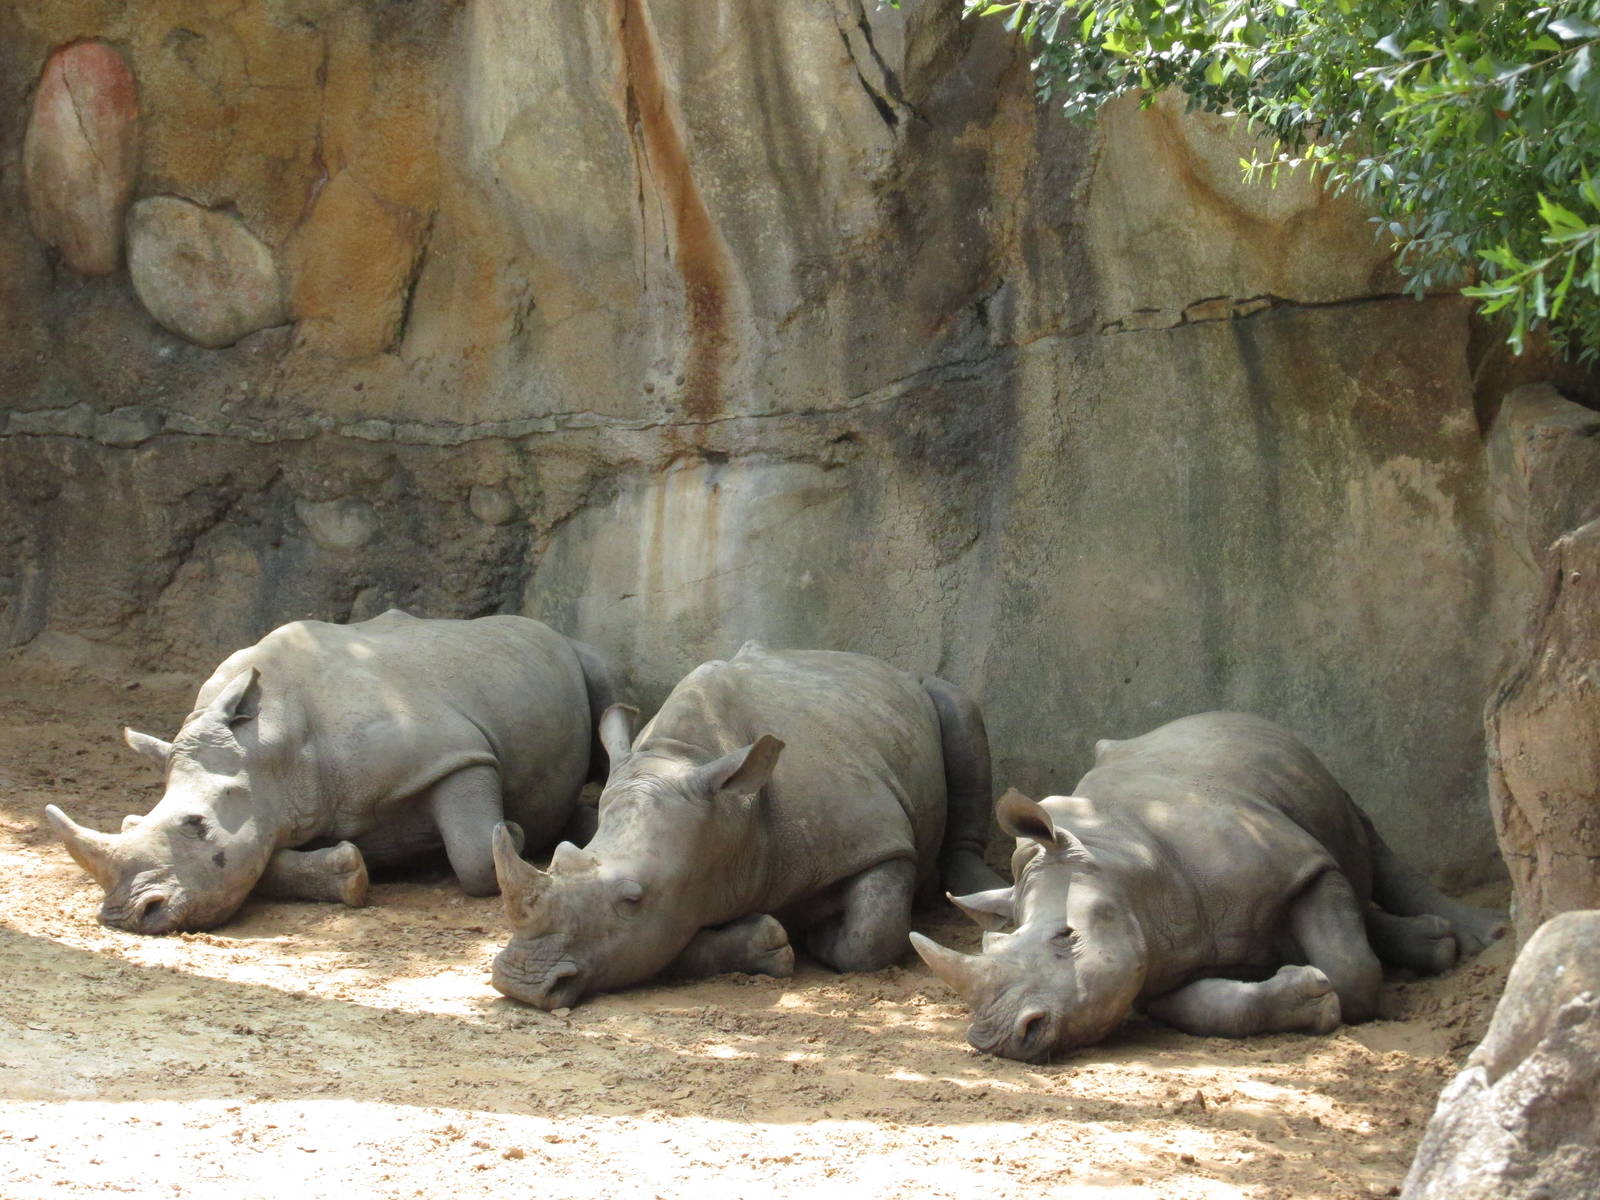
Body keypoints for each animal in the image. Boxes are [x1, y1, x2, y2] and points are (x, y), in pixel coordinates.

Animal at [45, 610, 618, 934]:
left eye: (197, 826)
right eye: (130, 823)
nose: (125, 917)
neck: (269, 746)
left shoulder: (456, 755)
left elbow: (477, 854)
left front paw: (517, 833)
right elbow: (261, 857)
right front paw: (354, 869)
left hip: (574, 654)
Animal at [488, 642, 1004, 1009]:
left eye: (633, 900)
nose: (522, 982)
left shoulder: (880, 840)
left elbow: (871, 936)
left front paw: (819, 935)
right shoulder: (682, 896)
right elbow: (666, 942)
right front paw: (771, 941)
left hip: (923, 699)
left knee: (959, 707)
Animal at [911, 711, 1507, 1062]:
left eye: (1068, 937)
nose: (996, 1039)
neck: (1117, 863)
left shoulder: (1303, 868)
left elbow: (1352, 966)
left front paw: (1334, 993)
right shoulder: (1153, 954)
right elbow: (1209, 1008)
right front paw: (1308, 996)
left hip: (1313, 770)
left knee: (1366, 839)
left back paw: (1474, 940)